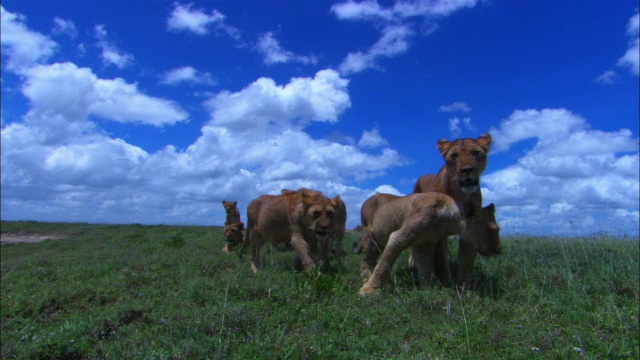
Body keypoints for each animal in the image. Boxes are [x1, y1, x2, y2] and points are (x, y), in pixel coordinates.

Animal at [416, 134, 500, 288]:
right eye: (454, 156)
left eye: (475, 153)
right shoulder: (437, 230)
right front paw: (446, 284)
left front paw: (462, 289)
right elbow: (441, 260)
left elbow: (466, 261)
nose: (467, 170)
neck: (459, 194)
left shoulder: (472, 227)